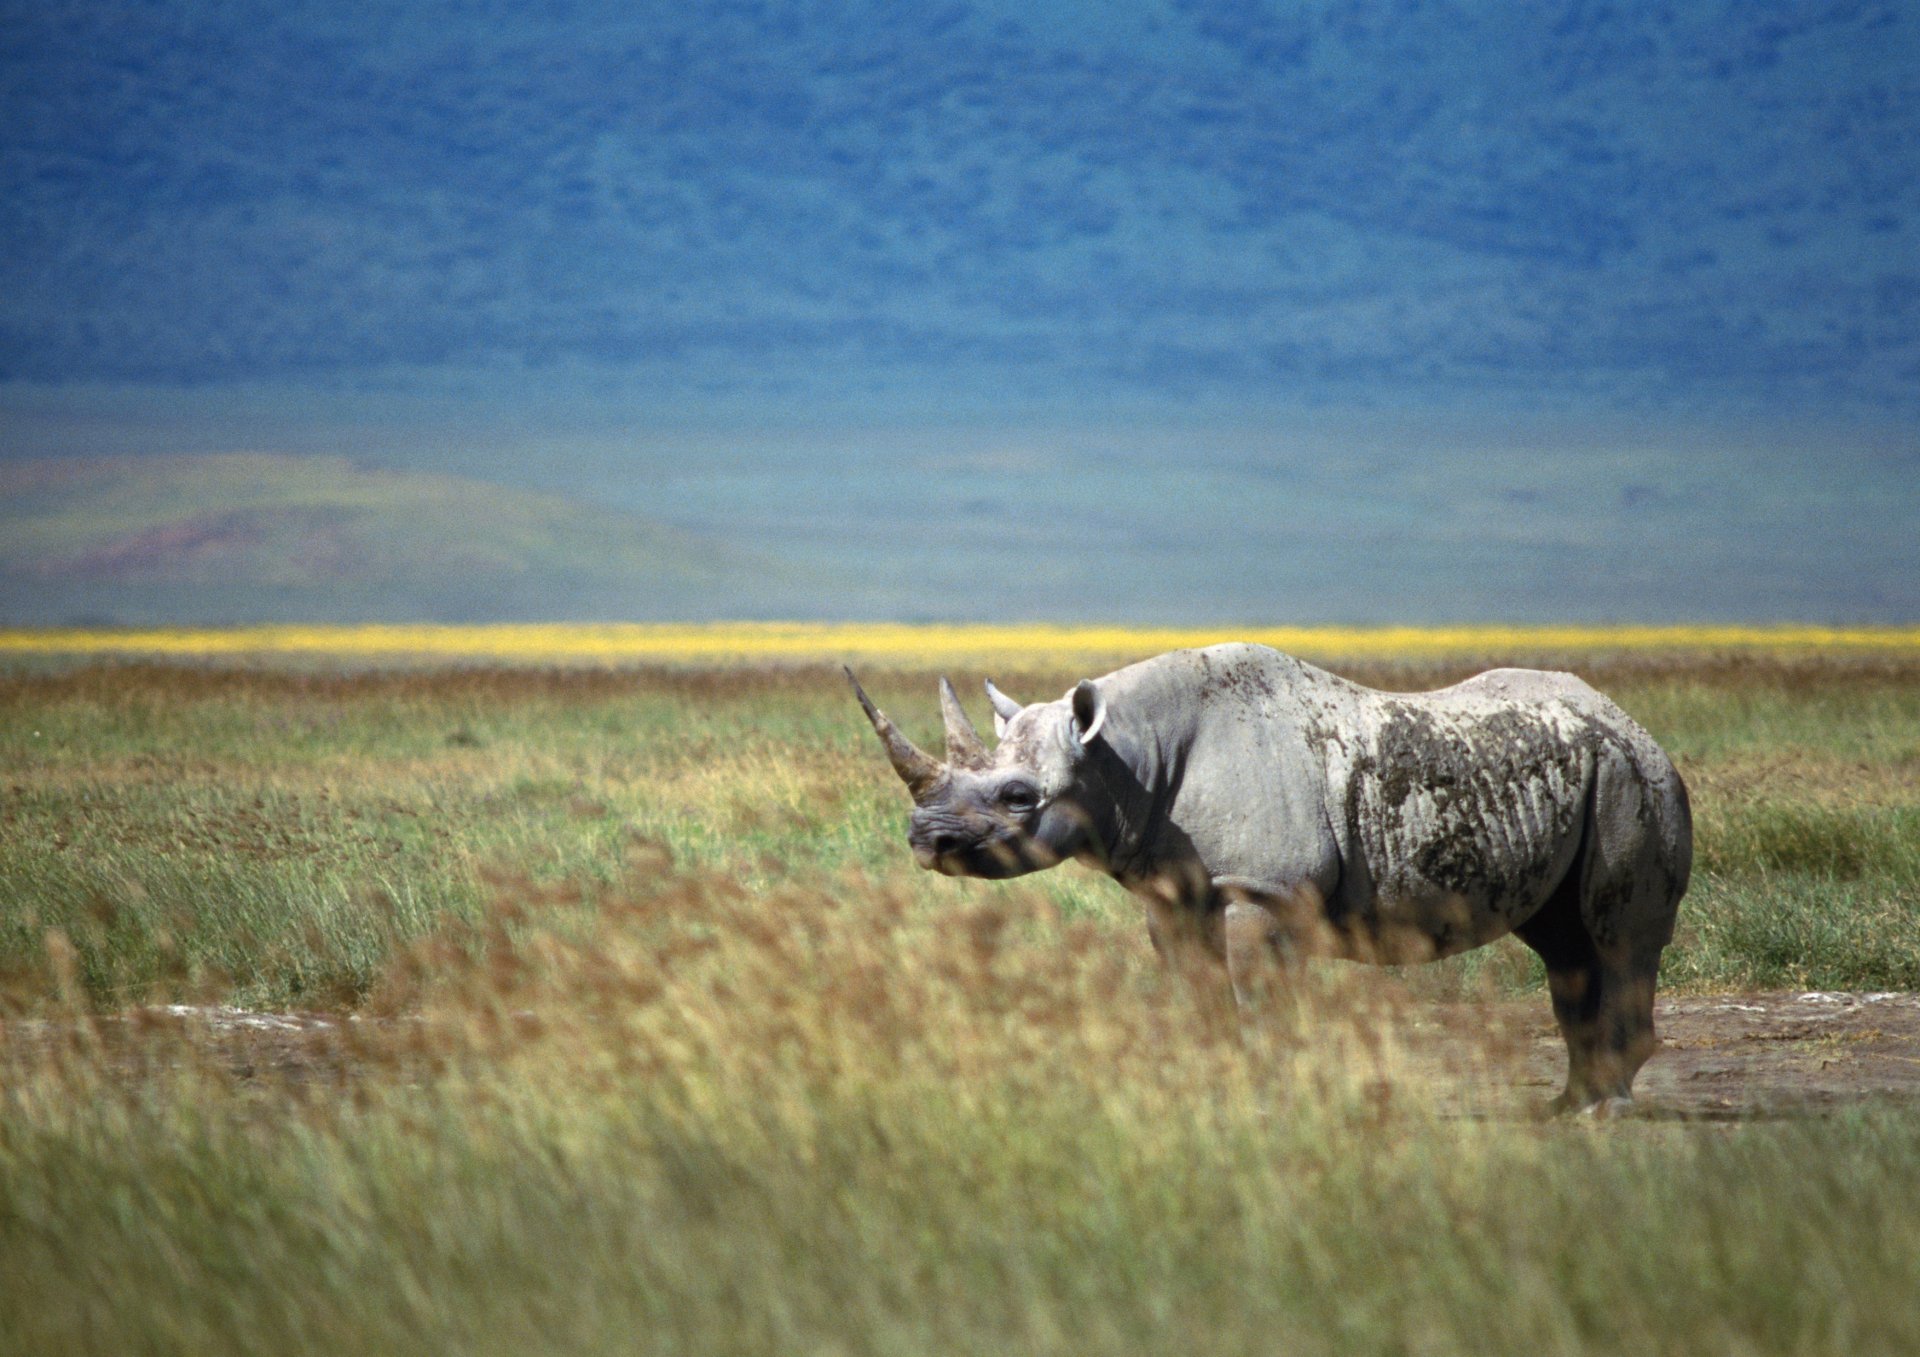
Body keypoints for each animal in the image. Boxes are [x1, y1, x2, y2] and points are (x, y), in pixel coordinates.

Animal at [847, 643, 1691, 1114]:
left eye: (1019, 797)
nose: (926, 840)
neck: (1122, 755)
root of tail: (1636, 724)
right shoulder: (1172, 889)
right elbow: (1197, 995)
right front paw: (1210, 1092)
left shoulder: (1264, 887)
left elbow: (1261, 1001)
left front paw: (1268, 1098)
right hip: (1590, 772)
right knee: (1563, 945)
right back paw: (1565, 1105)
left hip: (1634, 778)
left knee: (1614, 938)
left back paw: (1603, 1112)